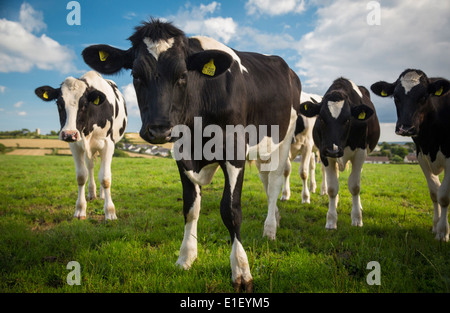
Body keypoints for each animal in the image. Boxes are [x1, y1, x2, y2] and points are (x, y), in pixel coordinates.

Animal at [34, 71, 126, 219]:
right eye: (59, 103)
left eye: (84, 104)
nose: (69, 134)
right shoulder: (75, 145)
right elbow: (81, 176)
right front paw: (80, 209)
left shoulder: (108, 144)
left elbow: (105, 178)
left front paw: (110, 212)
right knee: (91, 166)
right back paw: (92, 193)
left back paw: (101, 194)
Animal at [82, 19, 300, 288]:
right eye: (136, 75)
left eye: (183, 75)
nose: (159, 129)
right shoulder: (181, 153)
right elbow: (190, 207)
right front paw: (186, 257)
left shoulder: (235, 148)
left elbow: (231, 210)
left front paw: (241, 269)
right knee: (267, 181)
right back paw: (275, 219)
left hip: (284, 138)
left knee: (275, 183)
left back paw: (270, 229)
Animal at [300, 77, 378, 229]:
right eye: (321, 118)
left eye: (347, 119)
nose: (333, 149)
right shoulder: (324, 154)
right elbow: (332, 188)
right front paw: (331, 220)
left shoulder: (360, 153)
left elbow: (355, 186)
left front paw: (357, 218)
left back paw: (359, 206)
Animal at [370, 67, 450, 239]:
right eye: (396, 96)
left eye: (424, 96)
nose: (405, 127)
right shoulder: (422, 157)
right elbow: (434, 193)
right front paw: (435, 226)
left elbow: (444, 195)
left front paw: (442, 232)